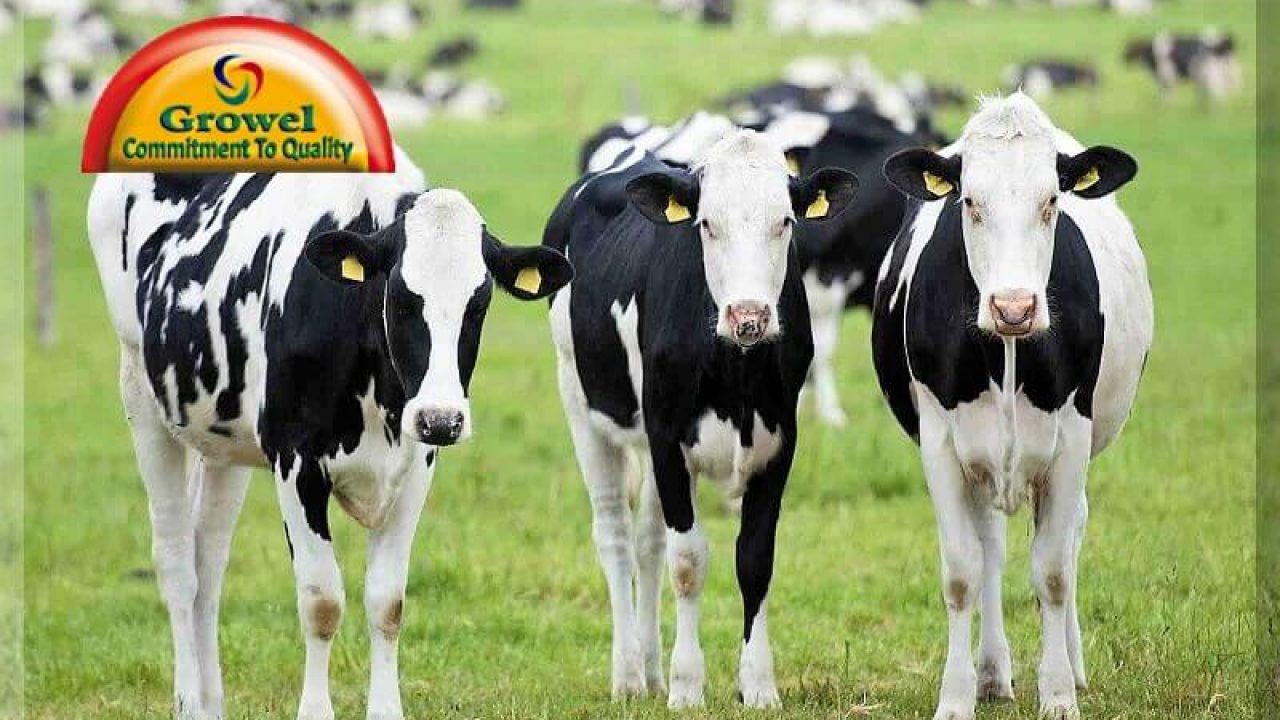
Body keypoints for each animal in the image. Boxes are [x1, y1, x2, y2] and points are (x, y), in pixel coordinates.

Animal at [85, 152, 573, 720]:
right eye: (402, 300)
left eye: (479, 305)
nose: (442, 418)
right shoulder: (296, 461)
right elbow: (321, 601)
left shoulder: (416, 466)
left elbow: (388, 602)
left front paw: (386, 711)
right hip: (142, 397)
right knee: (178, 565)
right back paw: (188, 701)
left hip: (223, 440)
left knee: (209, 565)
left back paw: (211, 702)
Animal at [544, 131, 858, 708]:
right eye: (707, 224)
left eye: (784, 222)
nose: (749, 315)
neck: (736, 374)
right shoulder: (669, 439)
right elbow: (688, 561)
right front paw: (688, 686)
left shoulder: (779, 445)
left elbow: (754, 560)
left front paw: (758, 685)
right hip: (582, 404)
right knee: (615, 535)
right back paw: (627, 674)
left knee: (647, 542)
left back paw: (650, 672)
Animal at [873, 93, 1152, 720]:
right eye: (970, 203)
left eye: (1051, 202)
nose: (1015, 306)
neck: (1005, 350)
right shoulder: (941, 444)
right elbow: (962, 573)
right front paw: (955, 698)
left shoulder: (1072, 439)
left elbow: (1051, 572)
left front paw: (1058, 696)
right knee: (992, 550)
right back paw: (992, 673)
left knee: (1068, 540)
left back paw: (1072, 666)